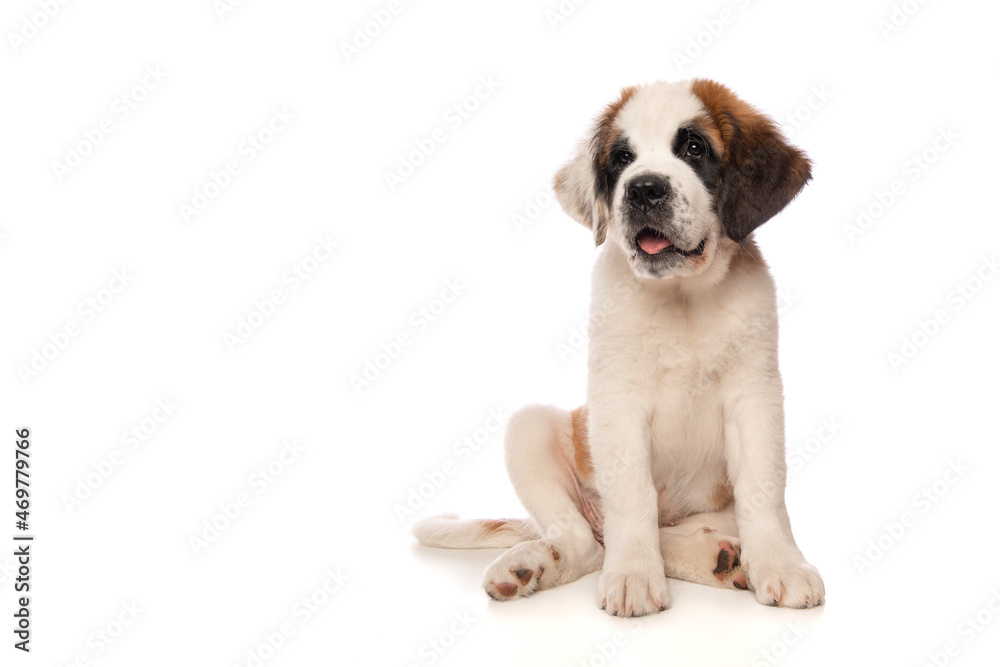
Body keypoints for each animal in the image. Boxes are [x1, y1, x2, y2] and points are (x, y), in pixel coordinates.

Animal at [410, 81, 824, 620]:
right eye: (622, 159)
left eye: (694, 148)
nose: (643, 189)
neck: (682, 297)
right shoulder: (617, 401)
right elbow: (632, 494)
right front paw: (632, 576)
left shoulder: (754, 395)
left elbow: (764, 488)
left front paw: (780, 565)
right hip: (531, 429)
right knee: (585, 542)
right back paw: (531, 564)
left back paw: (721, 558)